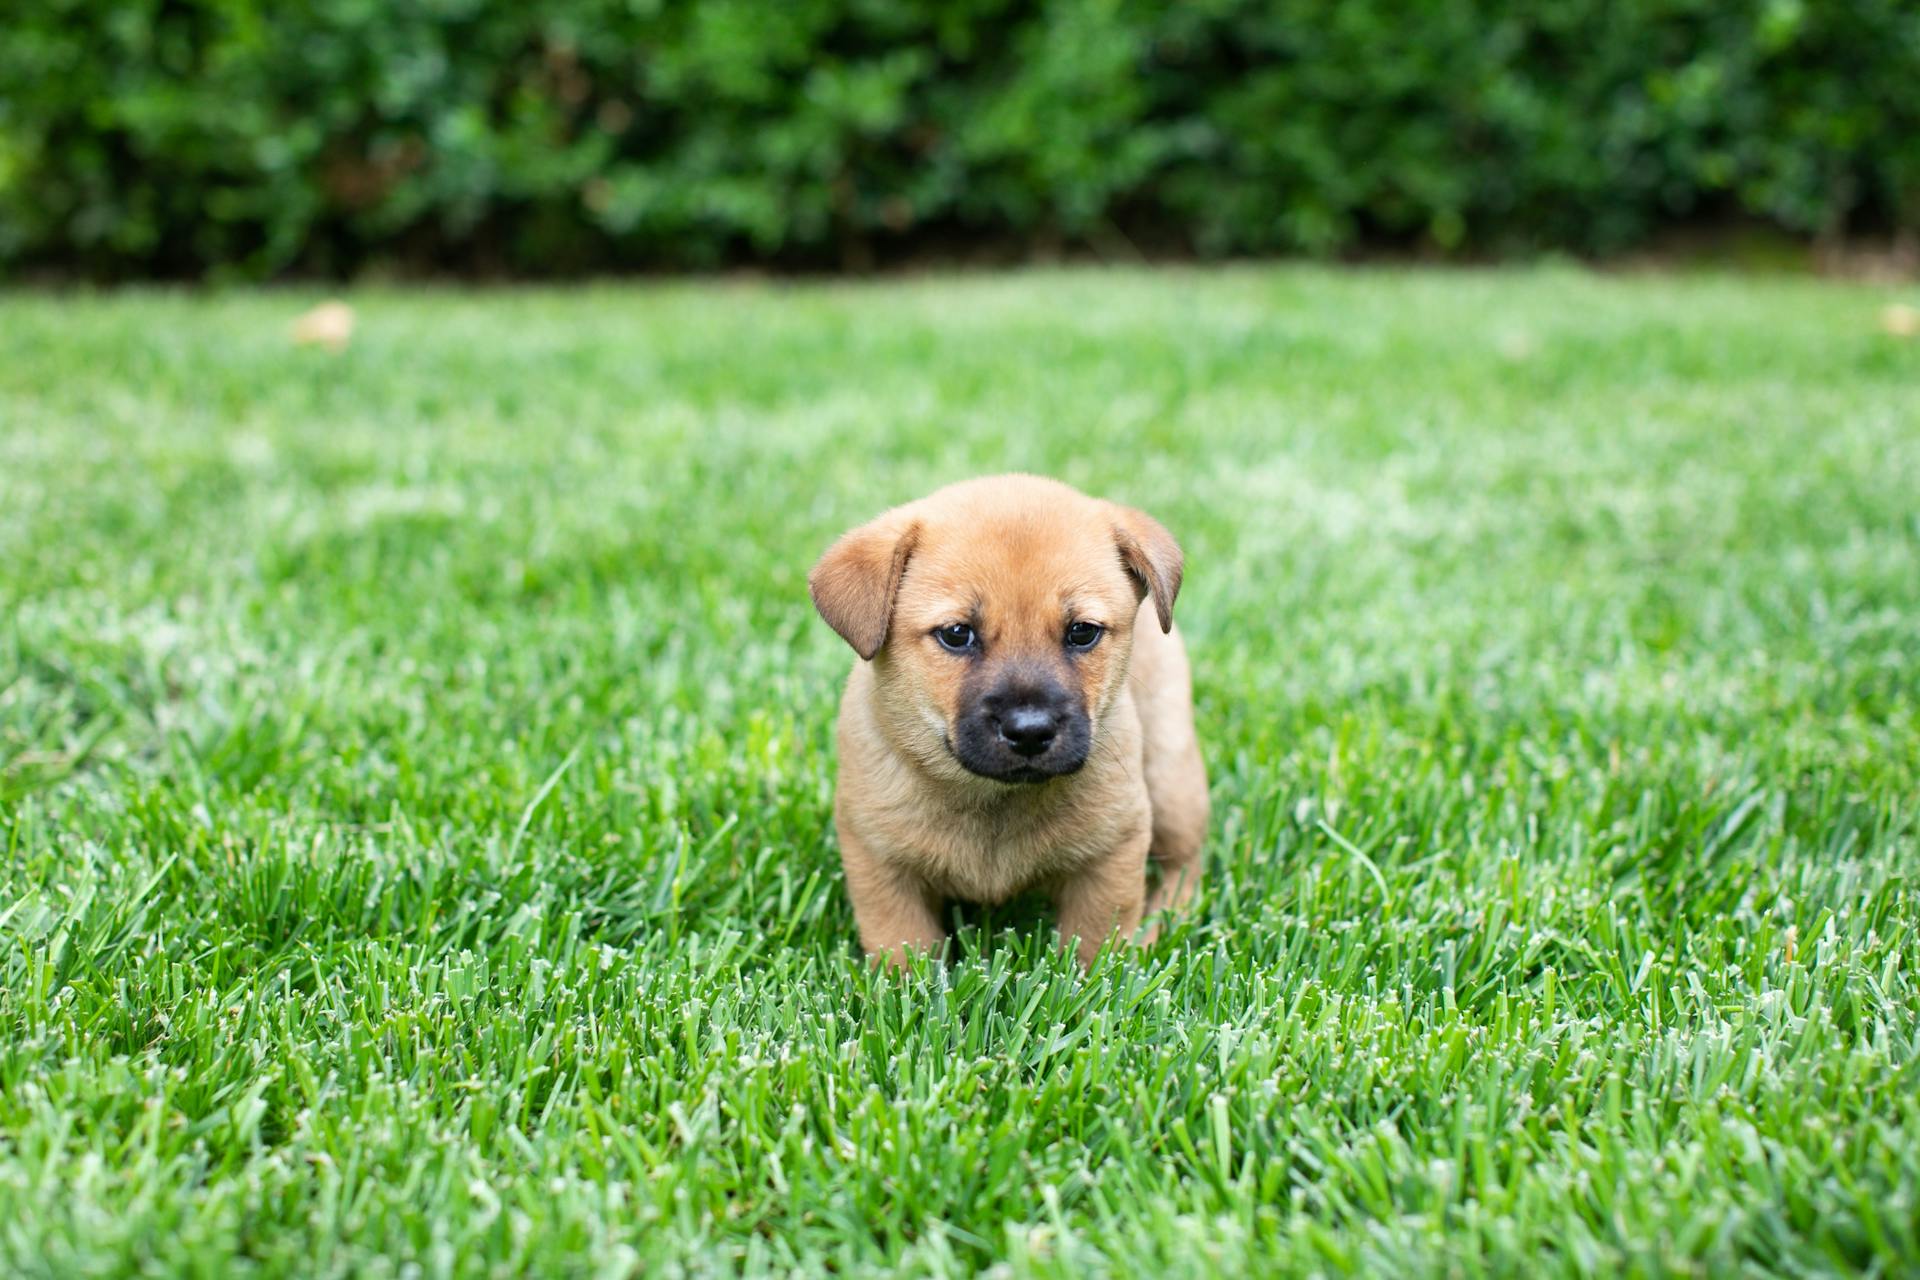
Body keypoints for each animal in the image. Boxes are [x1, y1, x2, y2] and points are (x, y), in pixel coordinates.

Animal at [806, 475, 1198, 967]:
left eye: (1082, 631)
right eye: (957, 634)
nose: (1030, 732)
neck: (995, 801)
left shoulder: (1111, 853)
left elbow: (1094, 949)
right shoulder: (880, 863)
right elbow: (905, 949)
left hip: (1171, 778)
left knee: (1186, 865)